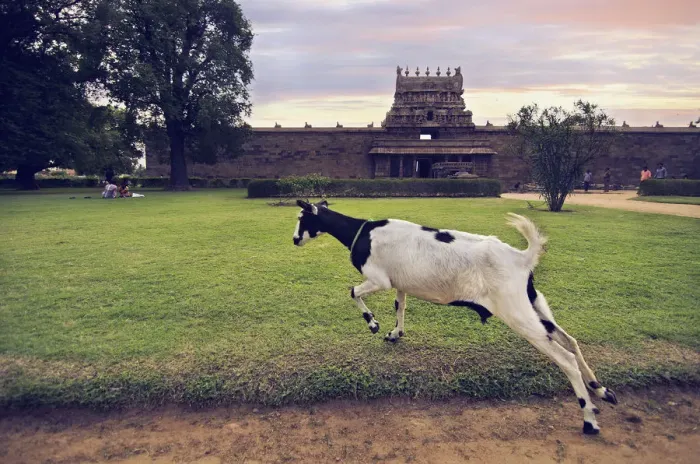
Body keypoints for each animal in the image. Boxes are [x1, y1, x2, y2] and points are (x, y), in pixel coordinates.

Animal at [292, 199, 618, 435]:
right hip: (534, 304)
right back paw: (602, 391)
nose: (294, 239)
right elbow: (400, 305)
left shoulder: (378, 279)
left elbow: (352, 292)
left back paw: (589, 420)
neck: (365, 233)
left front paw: (373, 324)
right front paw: (394, 333)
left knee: (566, 359)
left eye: (303, 219)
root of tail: (522, 258)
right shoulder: (400, 283)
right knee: (571, 341)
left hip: (518, 314)